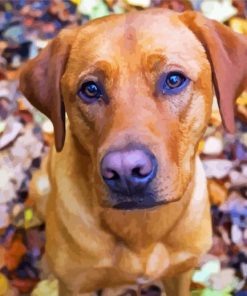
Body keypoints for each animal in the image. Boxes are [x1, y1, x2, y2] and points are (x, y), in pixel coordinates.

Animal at [20, 7, 247, 296]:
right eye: (90, 89)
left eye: (174, 79)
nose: (126, 170)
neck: (141, 228)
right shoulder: (74, 284)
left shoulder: (181, 272)